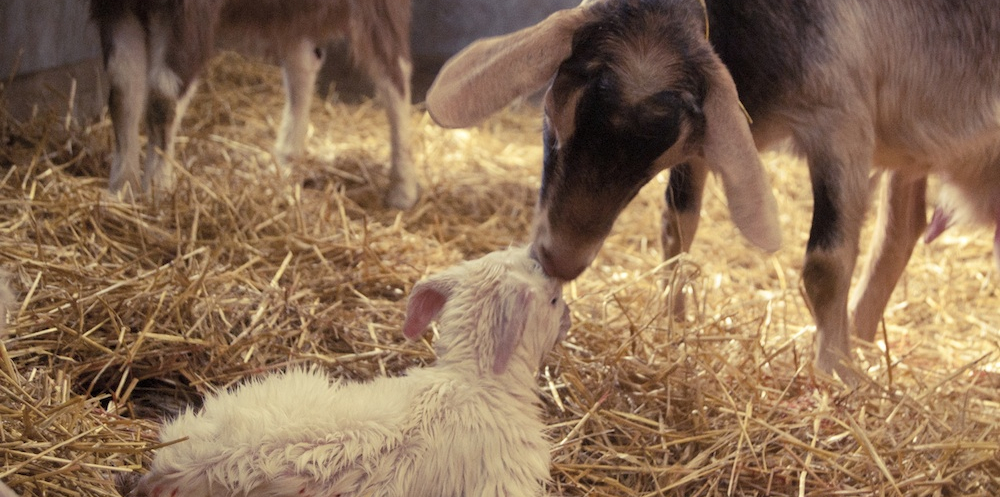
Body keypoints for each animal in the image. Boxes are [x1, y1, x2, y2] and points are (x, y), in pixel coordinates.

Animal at [84, 0, 416, 207]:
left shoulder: (189, 11)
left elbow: (163, 96)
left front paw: (157, 191)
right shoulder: (114, 6)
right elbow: (123, 92)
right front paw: (119, 190)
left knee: (394, 72)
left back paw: (402, 189)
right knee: (303, 61)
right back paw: (285, 160)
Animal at [426, 0, 1000, 378]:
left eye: (648, 159)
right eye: (552, 124)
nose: (557, 258)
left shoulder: (843, 124)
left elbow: (825, 262)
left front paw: (835, 375)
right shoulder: (706, 145)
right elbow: (676, 229)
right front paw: (670, 326)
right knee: (901, 229)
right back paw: (863, 337)